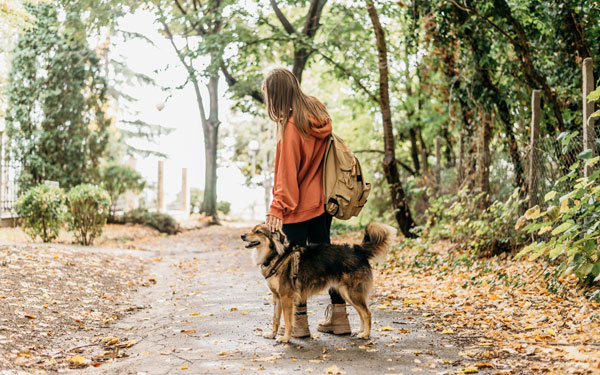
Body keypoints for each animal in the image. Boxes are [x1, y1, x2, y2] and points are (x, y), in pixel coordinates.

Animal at [241, 223, 396, 344]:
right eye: (252, 229)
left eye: (258, 232)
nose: (242, 235)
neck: (276, 256)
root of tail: (358, 250)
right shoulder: (277, 297)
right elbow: (275, 319)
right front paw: (272, 334)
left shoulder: (286, 297)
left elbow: (287, 320)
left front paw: (285, 338)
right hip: (348, 294)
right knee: (361, 313)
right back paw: (360, 331)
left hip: (352, 293)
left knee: (367, 313)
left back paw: (366, 335)